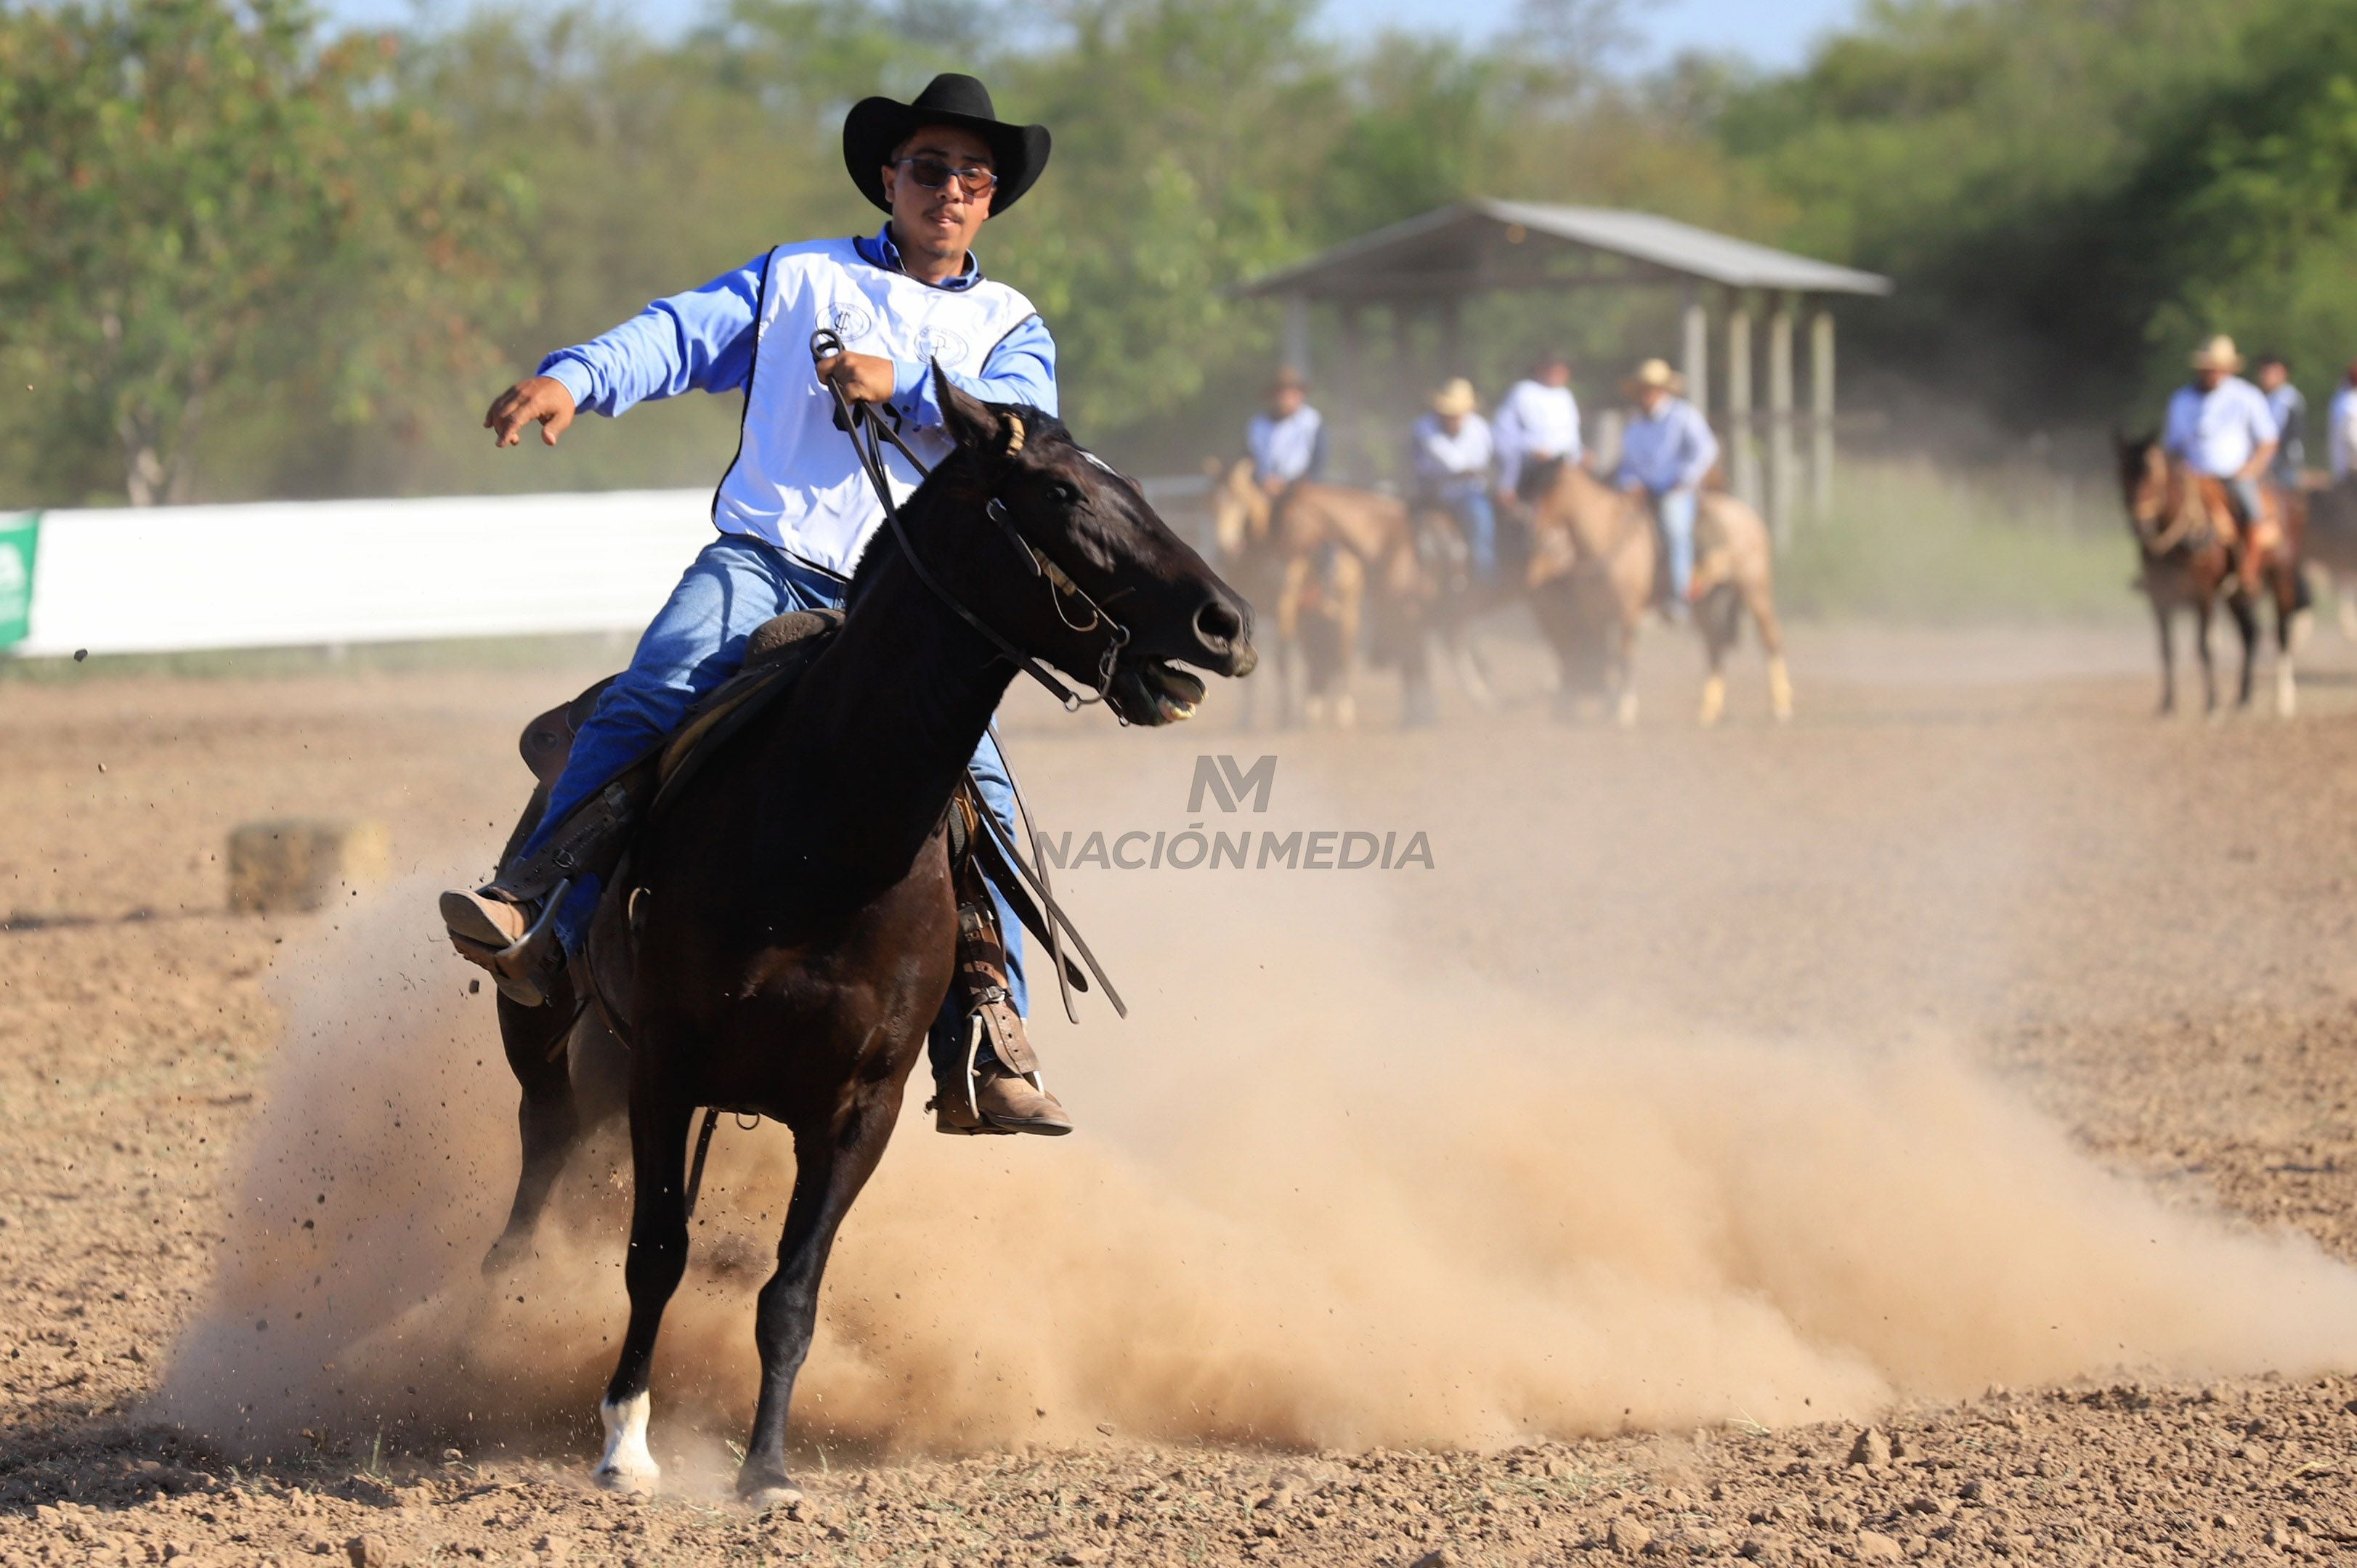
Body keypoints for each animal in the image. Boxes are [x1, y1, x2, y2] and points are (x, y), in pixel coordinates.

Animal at [474, 372, 1254, 1499]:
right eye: (1062, 492)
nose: (1225, 621)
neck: (818, 834)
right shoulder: (667, 1063)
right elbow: (654, 1253)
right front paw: (624, 1440)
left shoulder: (860, 1107)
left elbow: (791, 1291)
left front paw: (766, 1468)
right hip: (547, 1038)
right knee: (543, 1147)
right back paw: (502, 1284)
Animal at [1517, 462, 1791, 726]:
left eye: (1547, 491)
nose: (1531, 535)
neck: (1607, 535)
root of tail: (1748, 516)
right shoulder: (1597, 613)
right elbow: (1601, 655)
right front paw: (1605, 706)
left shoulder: (1628, 612)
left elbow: (1625, 655)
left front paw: (1625, 710)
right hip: (1705, 601)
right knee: (1714, 646)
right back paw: (1709, 712)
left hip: (1755, 590)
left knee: (1770, 639)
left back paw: (1781, 706)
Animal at [2121, 434, 2300, 716]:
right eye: (2123, 474)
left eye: (2152, 475)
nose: (2141, 526)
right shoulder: (2160, 598)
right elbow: (2167, 649)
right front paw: (2168, 704)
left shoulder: (2203, 595)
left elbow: (2205, 647)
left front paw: (2213, 704)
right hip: (2237, 595)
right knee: (2251, 633)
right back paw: (2244, 698)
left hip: (2282, 579)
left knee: (2282, 633)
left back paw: (2283, 701)